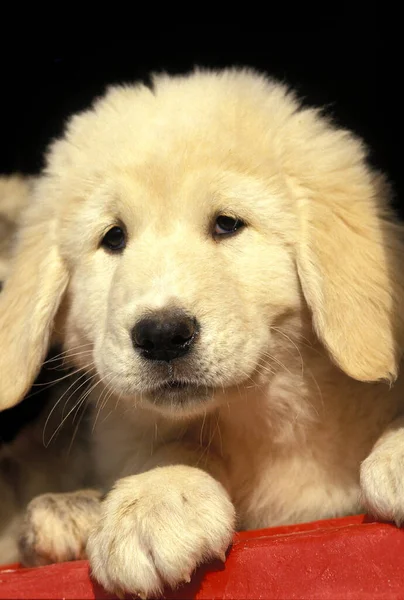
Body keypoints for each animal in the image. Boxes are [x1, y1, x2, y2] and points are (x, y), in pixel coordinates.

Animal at [0, 69, 404, 596]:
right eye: (113, 237)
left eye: (227, 224)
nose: (162, 335)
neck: (263, 420)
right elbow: (173, 442)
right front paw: (158, 497)